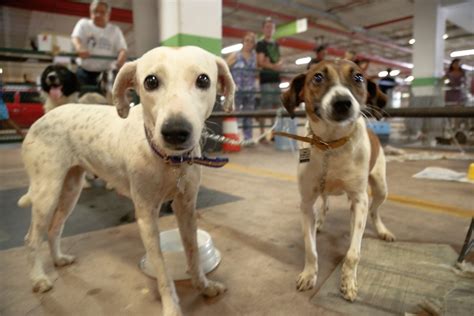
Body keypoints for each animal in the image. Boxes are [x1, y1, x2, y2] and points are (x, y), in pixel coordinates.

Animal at [282, 59, 396, 302]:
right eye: (317, 77)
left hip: (380, 188)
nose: (343, 103)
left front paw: (348, 282)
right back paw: (320, 222)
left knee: (374, 212)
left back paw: (381, 230)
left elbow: (353, 253)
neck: (330, 145)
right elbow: (310, 249)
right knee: (324, 204)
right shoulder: (306, 203)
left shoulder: (359, 200)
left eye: (359, 77)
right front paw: (309, 274)